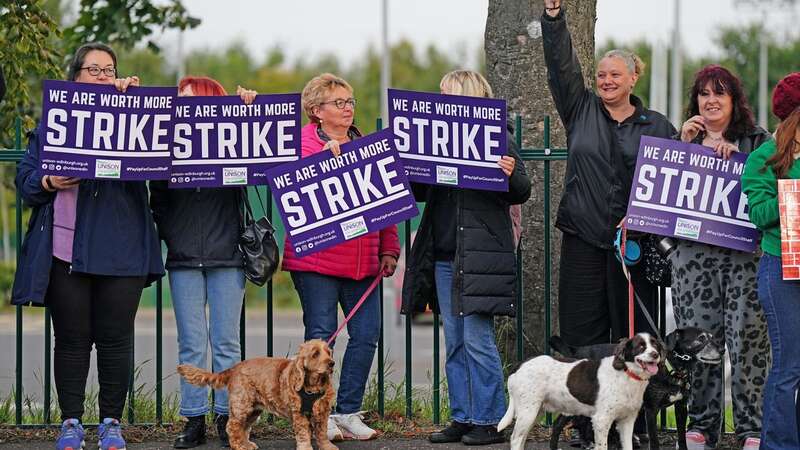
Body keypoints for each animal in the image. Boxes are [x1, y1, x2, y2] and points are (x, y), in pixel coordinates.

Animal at [500, 332, 664, 448]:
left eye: (655, 345)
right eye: (641, 346)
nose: (655, 354)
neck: (627, 373)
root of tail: (520, 365)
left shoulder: (627, 421)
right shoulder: (601, 421)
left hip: (535, 412)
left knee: (522, 439)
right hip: (528, 412)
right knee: (515, 439)